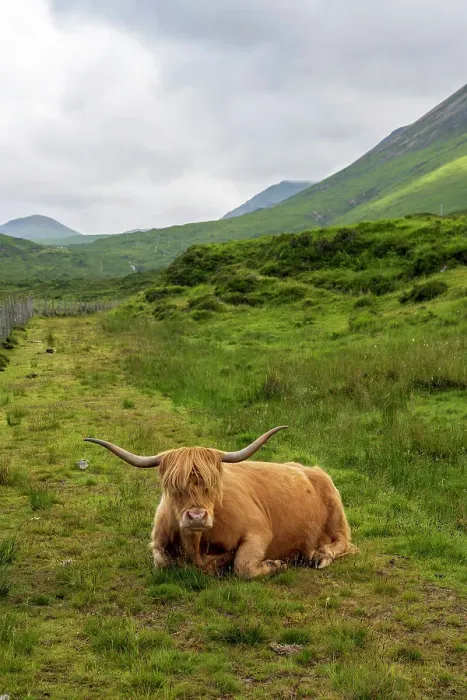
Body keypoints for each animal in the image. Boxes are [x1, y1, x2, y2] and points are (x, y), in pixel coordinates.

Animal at [84, 426, 356, 578]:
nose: (196, 516)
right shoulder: (158, 544)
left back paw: (319, 556)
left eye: (213, 484)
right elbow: (163, 562)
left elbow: (243, 566)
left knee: (342, 542)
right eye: (173, 486)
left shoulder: (258, 532)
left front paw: (276, 564)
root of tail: (310, 469)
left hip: (336, 518)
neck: (196, 546)